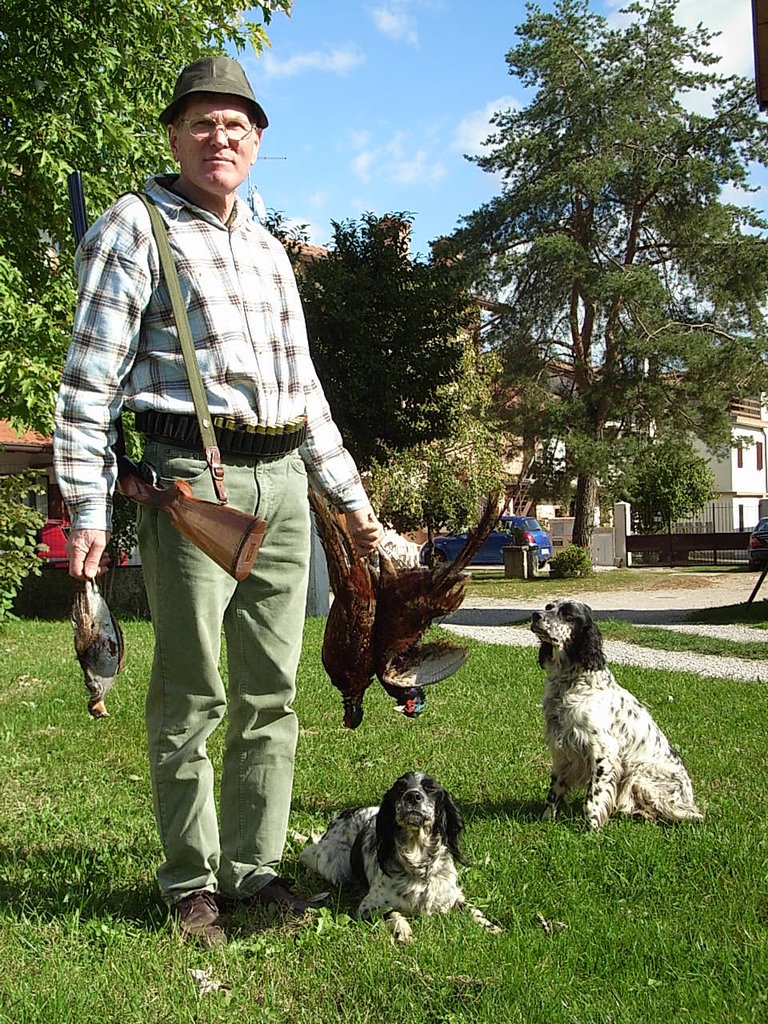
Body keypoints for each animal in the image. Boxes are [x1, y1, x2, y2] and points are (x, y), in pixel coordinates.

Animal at [299, 771, 500, 943]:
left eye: (430, 788)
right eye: (401, 788)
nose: (413, 796)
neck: (418, 863)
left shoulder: (452, 896)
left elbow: (472, 909)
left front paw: (491, 927)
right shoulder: (368, 907)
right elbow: (393, 912)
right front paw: (403, 930)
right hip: (330, 864)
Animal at [530, 599, 703, 830]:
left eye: (568, 614)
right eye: (549, 606)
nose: (535, 615)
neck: (569, 684)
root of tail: (688, 797)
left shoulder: (603, 752)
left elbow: (592, 798)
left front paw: (591, 829)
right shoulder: (561, 752)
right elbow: (553, 792)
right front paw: (546, 820)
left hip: (640, 776)